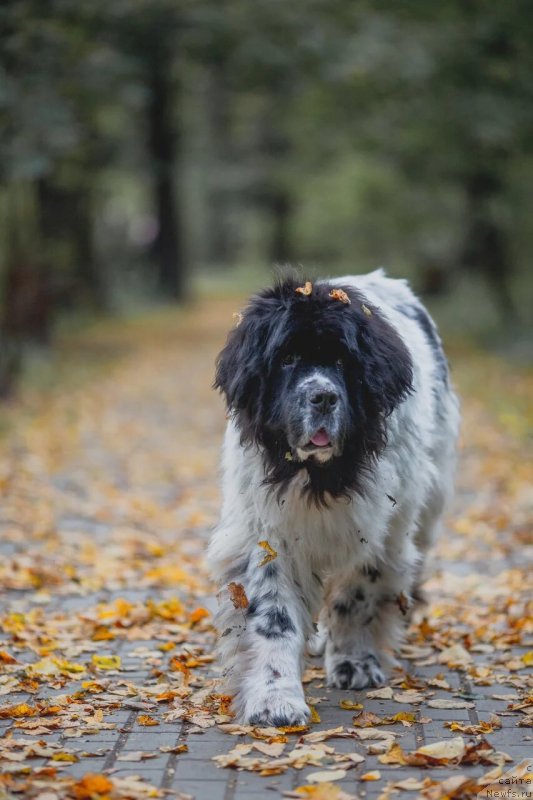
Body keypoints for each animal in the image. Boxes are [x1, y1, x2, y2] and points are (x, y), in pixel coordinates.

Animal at [210, 268, 460, 724]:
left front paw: (354, 663)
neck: (320, 475)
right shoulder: (266, 531)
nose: (323, 396)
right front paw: (274, 696)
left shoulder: (380, 532)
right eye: (286, 359)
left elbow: (356, 597)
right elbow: (273, 616)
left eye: (343, 362)